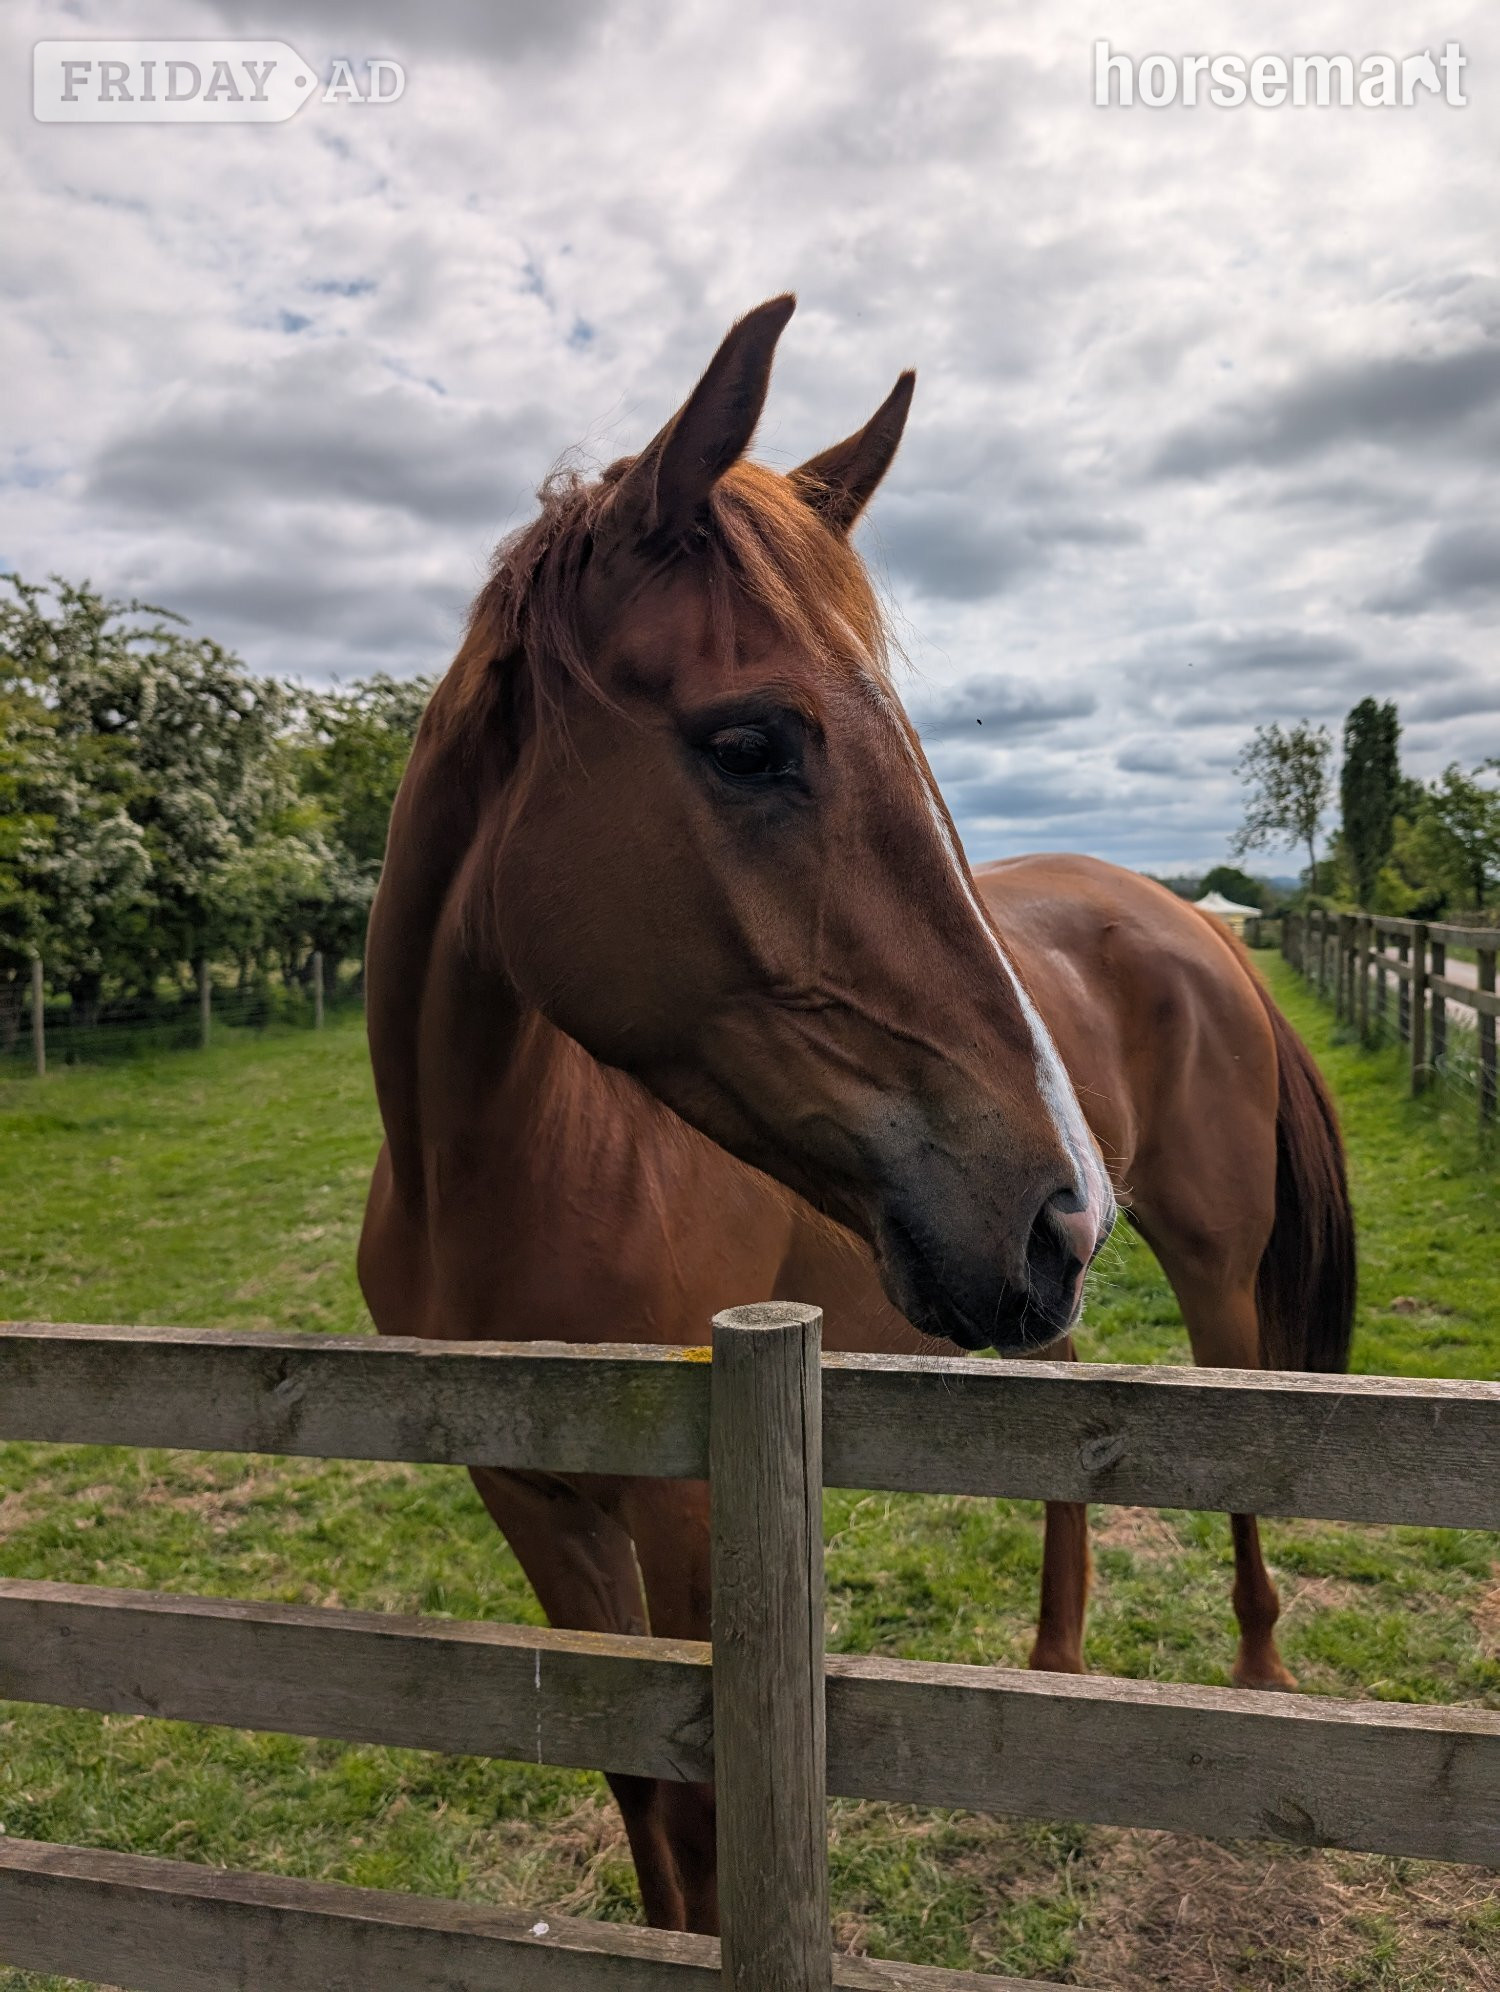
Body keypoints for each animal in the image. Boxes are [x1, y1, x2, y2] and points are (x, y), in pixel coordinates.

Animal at [358, 295, 1355, 1936]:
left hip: (1212, 1268)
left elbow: (702, 1814)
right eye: (751, 743)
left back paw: (1261, 1670)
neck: (498, 1175)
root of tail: (1196, 924)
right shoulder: (531, 1503)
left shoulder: (688, 1510)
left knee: (1243, 1445)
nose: (1058, 1202)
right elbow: (634, 1786)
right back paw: (1055, 1662)